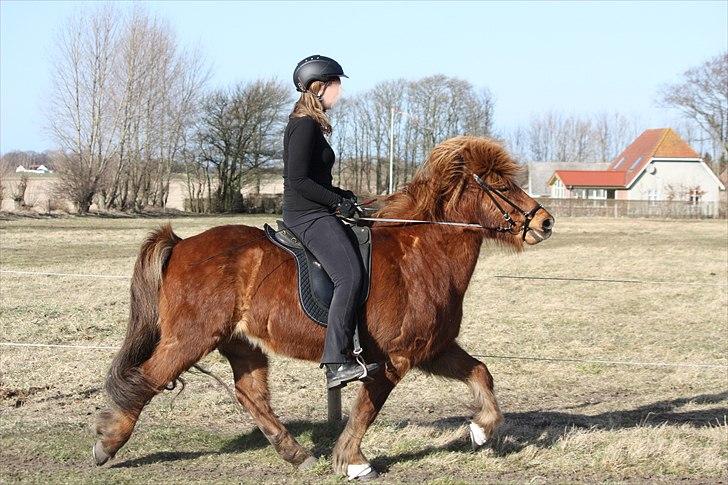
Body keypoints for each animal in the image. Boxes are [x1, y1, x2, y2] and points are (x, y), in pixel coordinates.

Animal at [94, 134, 556, 478]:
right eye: (501, 186)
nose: (545, 221)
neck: (424, 251)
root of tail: (182, 243)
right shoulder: (394, 358)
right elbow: (367, 409)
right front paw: (351, 461)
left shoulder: (433, 349)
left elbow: (481, 372)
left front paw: (481, 429)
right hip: (190, 339)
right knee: (147, 377)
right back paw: (107, 441)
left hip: (241, 343)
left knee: (250, 394)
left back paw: (295, 453)